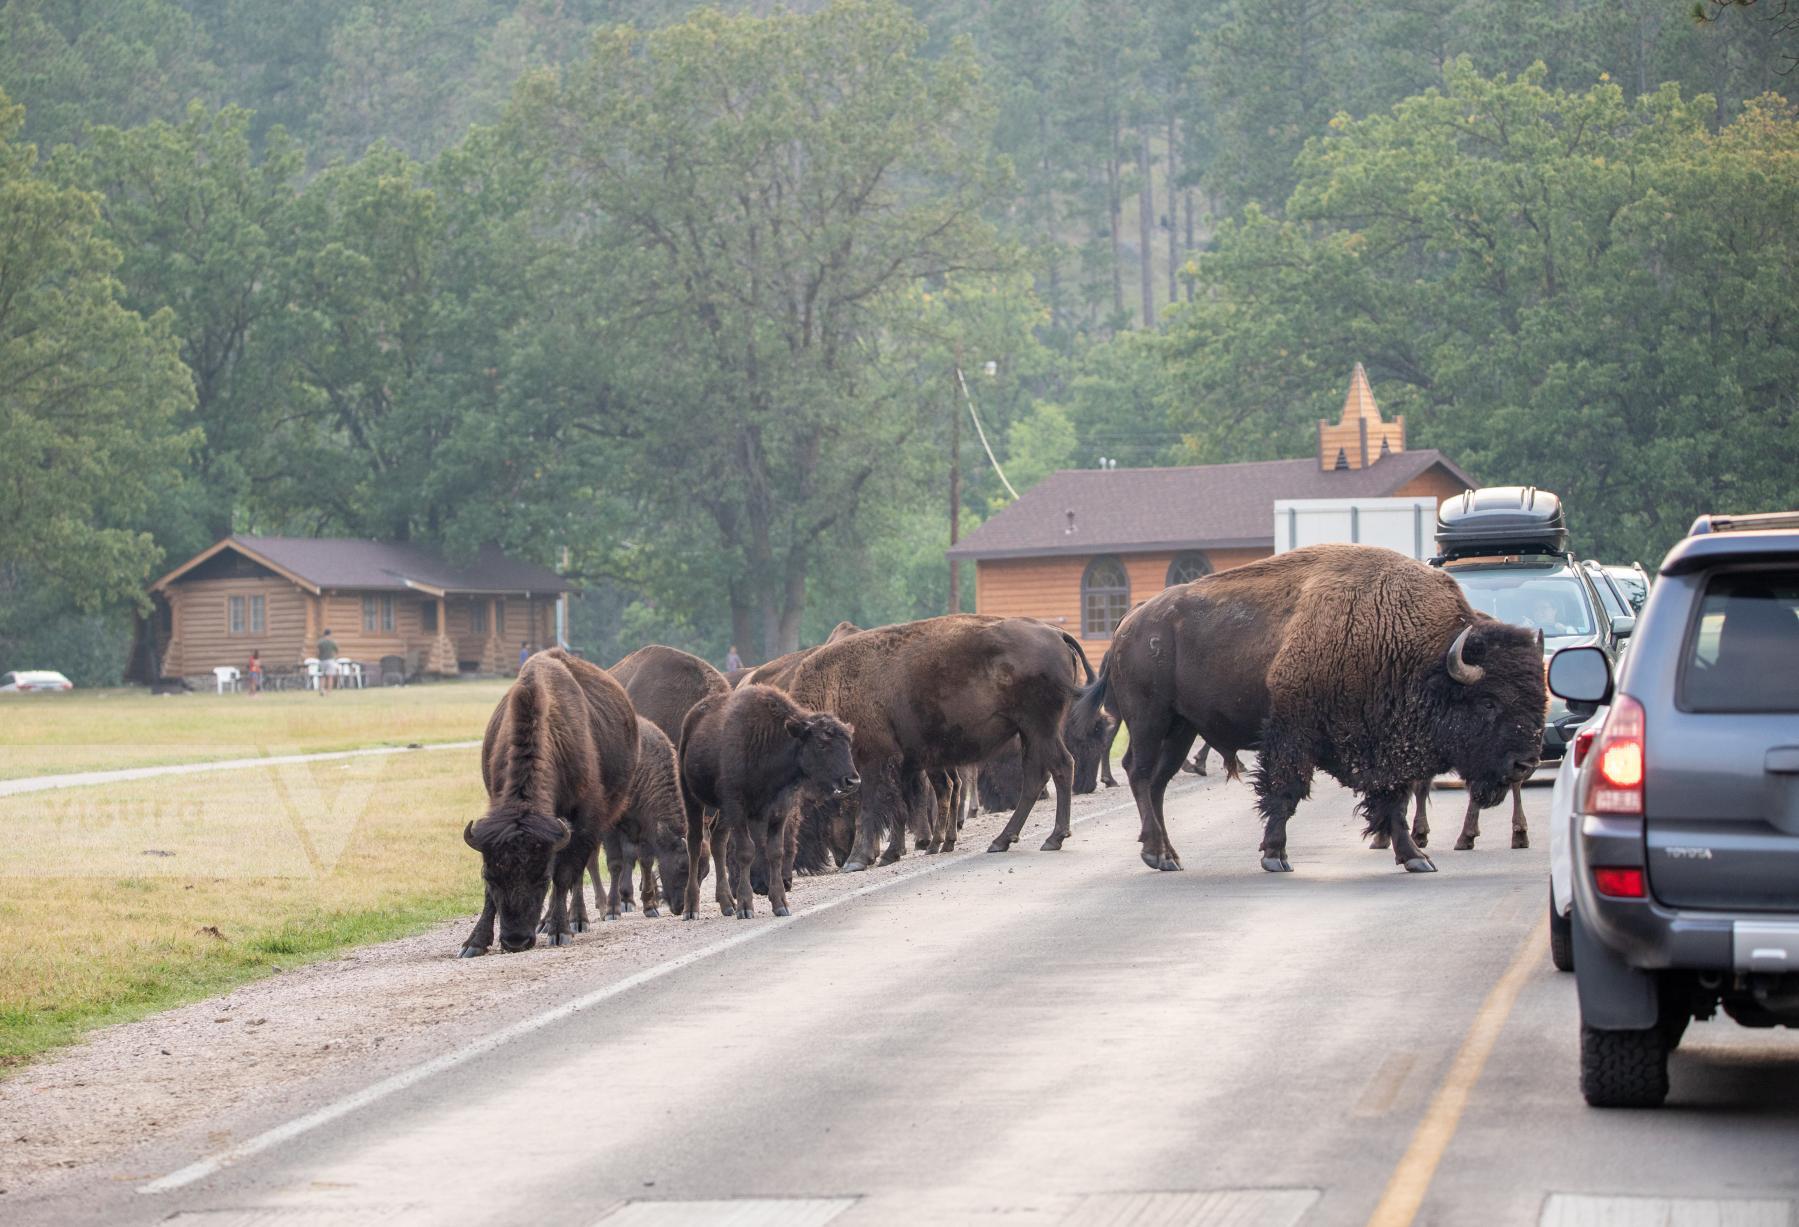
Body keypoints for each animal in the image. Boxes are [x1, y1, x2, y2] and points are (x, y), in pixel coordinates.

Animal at [460, 644, 636, 949]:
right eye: (490, 876)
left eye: (541, 878)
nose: (516, 940)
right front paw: (475, 943)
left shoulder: (583, 819)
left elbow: (564, 875)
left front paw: (560, 930)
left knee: (580, 869)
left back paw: (576, 920)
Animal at [680, 683, 863, 913]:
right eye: (822, 743)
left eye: (848, 743)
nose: (852, 781)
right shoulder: (737, 808)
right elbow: (746, 851)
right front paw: (746, 907)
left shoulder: (779, 810)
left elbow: (775, 851)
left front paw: (780, 904)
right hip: (692, 798)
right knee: (695, 843)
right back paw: (691, 908)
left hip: (722, 813)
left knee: (718, 842)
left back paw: (727, 904)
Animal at [780, 611, 1086, 870]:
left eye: (805, 808)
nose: (797, 865)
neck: (834, 684)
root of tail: (1055, 632)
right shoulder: (902, 763)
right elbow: (900, 806)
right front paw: (891, 854)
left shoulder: (872, 760)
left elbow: (871, 807)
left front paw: (860, 859)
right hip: (1031, 733)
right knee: (1037, 776)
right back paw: (1002, 840)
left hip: (1039, 728)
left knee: (1060, 767)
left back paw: (1052, 838)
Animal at [1072, 543, 1554, 870]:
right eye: (1489, 702)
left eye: (1538, 697)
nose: (1525, 763)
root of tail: (1128, 624)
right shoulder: (1293, 734)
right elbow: (1285, 792)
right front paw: (1274, 855)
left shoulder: (1385, 748)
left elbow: (1393, 802)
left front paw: (1416, 857)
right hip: (1150, 721)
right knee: (1139, 774)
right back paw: (1158, 855)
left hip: (1181, 728)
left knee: (1156, 783)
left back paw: (1168, 854)